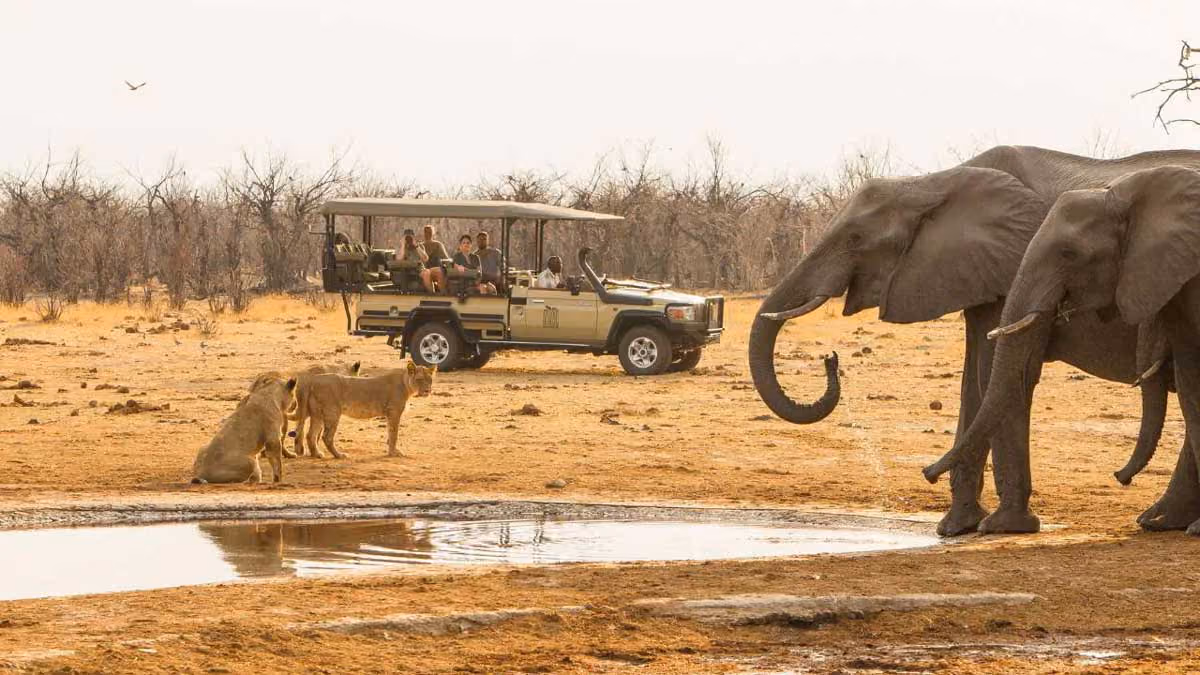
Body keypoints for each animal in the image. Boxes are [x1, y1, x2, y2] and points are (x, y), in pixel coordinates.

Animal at [287, 361, 436, 458]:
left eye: (430, 380)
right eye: (419, 379)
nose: (427, 390)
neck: (406, 383)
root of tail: (312, 380)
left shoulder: (390, 414)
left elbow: (390, 432)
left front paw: (391, 450)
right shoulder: (394, 412)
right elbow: (394, 433)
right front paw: (394, 453)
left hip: (317, 414)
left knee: (310, 435)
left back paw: (317, 454)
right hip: (332, 412)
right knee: (326, 436)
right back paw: (339, 455)